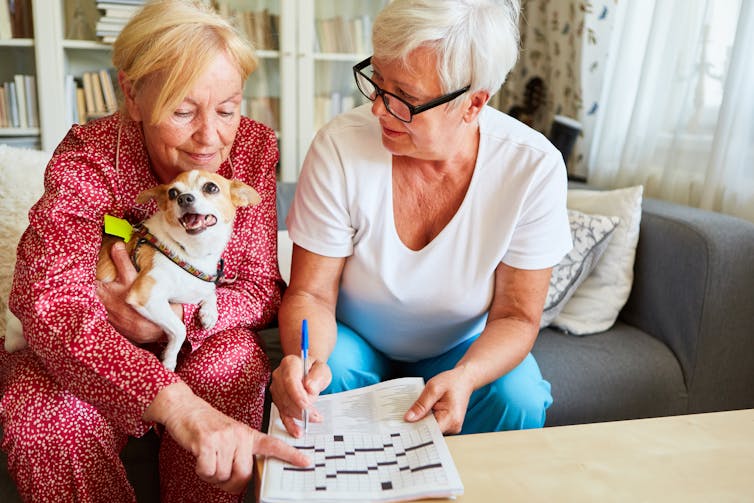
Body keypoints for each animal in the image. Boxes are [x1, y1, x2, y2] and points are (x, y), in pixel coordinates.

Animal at [4, 169, 260, 370]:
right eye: (172, 193)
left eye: (211, 187)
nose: (185, 198)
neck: (189, 252)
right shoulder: (147, 296)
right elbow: (179, 329)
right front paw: (169, 360)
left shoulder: (196, 284)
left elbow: (209, 291)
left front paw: (209, 312)